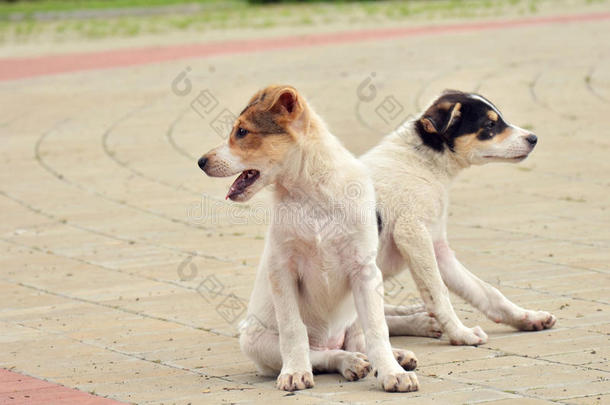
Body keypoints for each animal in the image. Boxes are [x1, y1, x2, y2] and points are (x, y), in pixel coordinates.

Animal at [200, 85, 418, 392]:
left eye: (242, 132)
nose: (200, 162)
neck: (310, 194)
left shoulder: (365, 270)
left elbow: (378, 330)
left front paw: (391, 372)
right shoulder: (282, 270)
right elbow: (294, 331)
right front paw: (294, 372)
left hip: (356, 310)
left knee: (360, 341)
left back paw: (392, 357)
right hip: (255, 341)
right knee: (325, 354)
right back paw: (349, 362)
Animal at [360, 90, 556, 344]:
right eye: (490, 125)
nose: (533, 138)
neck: (423, 162)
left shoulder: (437, 247)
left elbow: (485, 291)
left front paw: (526, 317)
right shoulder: (412, 234)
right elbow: (438, 292)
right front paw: (460, 333)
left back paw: (417, 315)